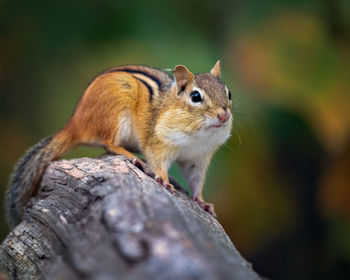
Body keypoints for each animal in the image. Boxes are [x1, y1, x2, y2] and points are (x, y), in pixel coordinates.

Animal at [5, 60, 232, 228]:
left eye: (228, 93)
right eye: (195, 96)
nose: (224, 115)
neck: (199, 136)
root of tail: (74, 123)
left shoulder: (198, 158)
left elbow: (196, 181)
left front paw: (201, 201)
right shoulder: (157, 143)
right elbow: (158, 161)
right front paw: (165, 180)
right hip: (117, 109)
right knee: (110, 144)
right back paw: (135, 159)